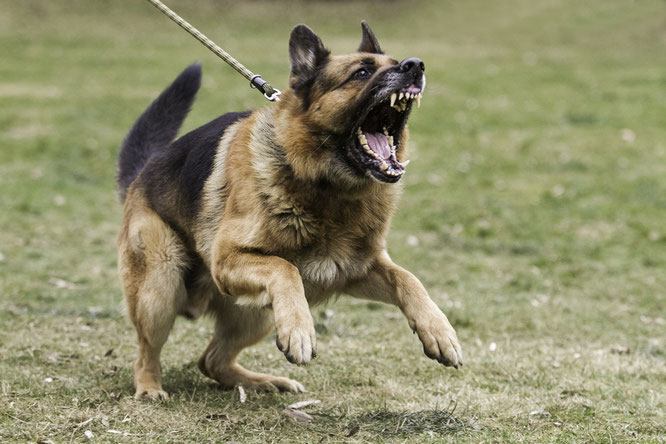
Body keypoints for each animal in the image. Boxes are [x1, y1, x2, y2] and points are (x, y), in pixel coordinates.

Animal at [116, 20, 460, 398]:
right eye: (362, 72)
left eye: (396, 63)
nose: (415, 65)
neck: (328, 188)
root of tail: (141, 172)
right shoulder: (227, 260)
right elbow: (285, 267)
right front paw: (299, 330)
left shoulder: (356, 269)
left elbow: (408, 279)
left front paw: (439, 331)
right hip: (160, 286)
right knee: (147, 351)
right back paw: (150, 387)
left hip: (256, 313)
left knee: (212, 361)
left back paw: (266, 382)